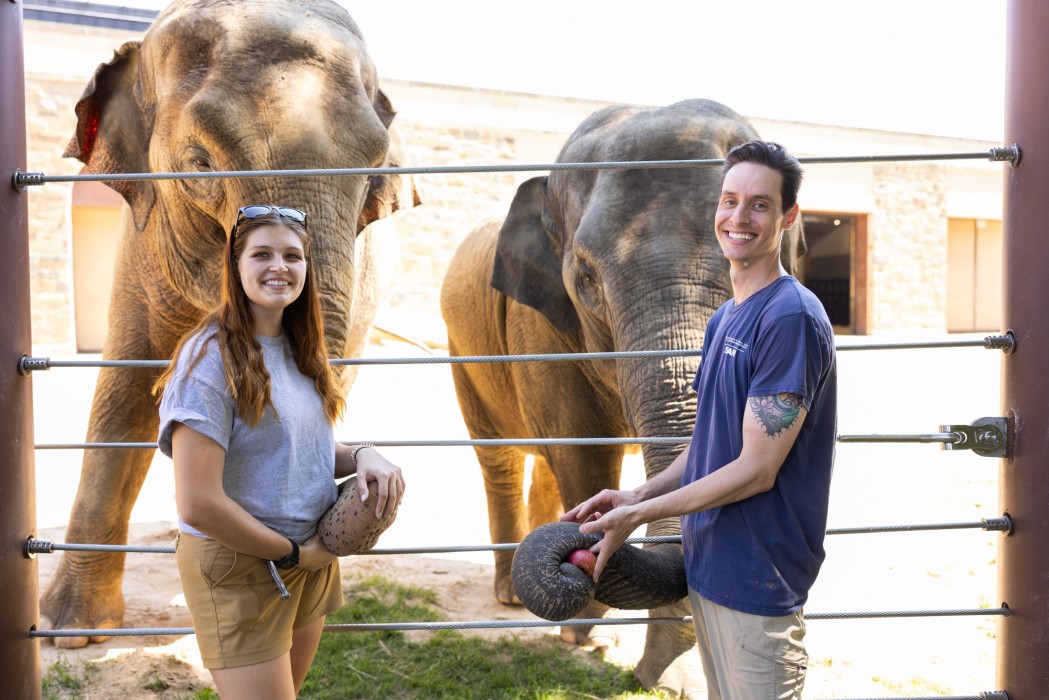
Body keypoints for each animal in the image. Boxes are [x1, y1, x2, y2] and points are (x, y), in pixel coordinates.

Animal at [436, 97, 801, 696]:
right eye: (586, 280)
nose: (645, 675)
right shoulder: (538, 326)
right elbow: (582, 449)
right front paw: (584, 638)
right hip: (462, 353)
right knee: (500, 456)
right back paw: (510, 594)